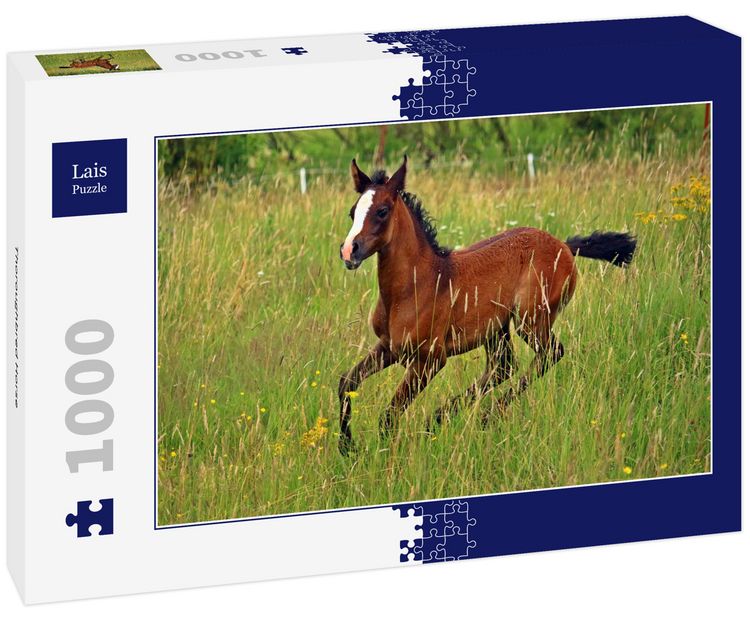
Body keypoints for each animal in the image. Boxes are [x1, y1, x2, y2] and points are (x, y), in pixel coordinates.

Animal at [337, 156, 636, 455]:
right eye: (352, 212)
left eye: (382, 211)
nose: (349, 251)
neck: (416, 285)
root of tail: (564, 245)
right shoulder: (388, 346)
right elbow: (347, 382)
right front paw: (347, 447)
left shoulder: (429, 360)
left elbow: (389, 416)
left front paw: (385, 455)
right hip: (496, 330)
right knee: (503, 367)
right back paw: (442, 418)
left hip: (530, 320)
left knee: (549, 354)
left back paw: (482, 415)